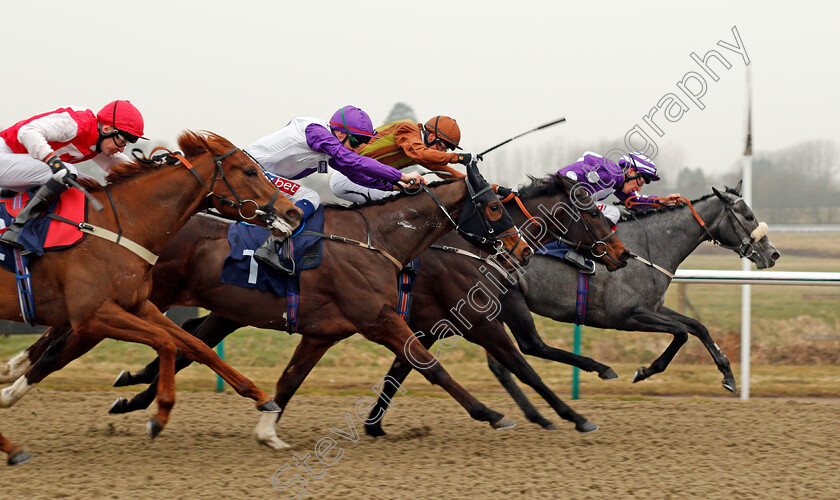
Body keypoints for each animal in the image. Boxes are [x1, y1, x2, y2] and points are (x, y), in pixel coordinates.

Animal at [0, 132, 302, 464]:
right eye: (250, 171)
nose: (294, 212)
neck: (120, 224)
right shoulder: (93, 315)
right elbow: (166, 342)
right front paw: (160, 415)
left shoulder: (139, 306)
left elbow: (197, 346)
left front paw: (263, 399)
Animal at [1, 163, 532, 450]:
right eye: (493, 206)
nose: (523, 249)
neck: (376, 240)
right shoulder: (379, 319)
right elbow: (430, 366)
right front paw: (491, 413)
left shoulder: (324, 331)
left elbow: (289, 381)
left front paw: (267, 428)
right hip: (135, 300)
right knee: (68, 344)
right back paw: (19, 383)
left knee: (74, 338)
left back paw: (23, 372)